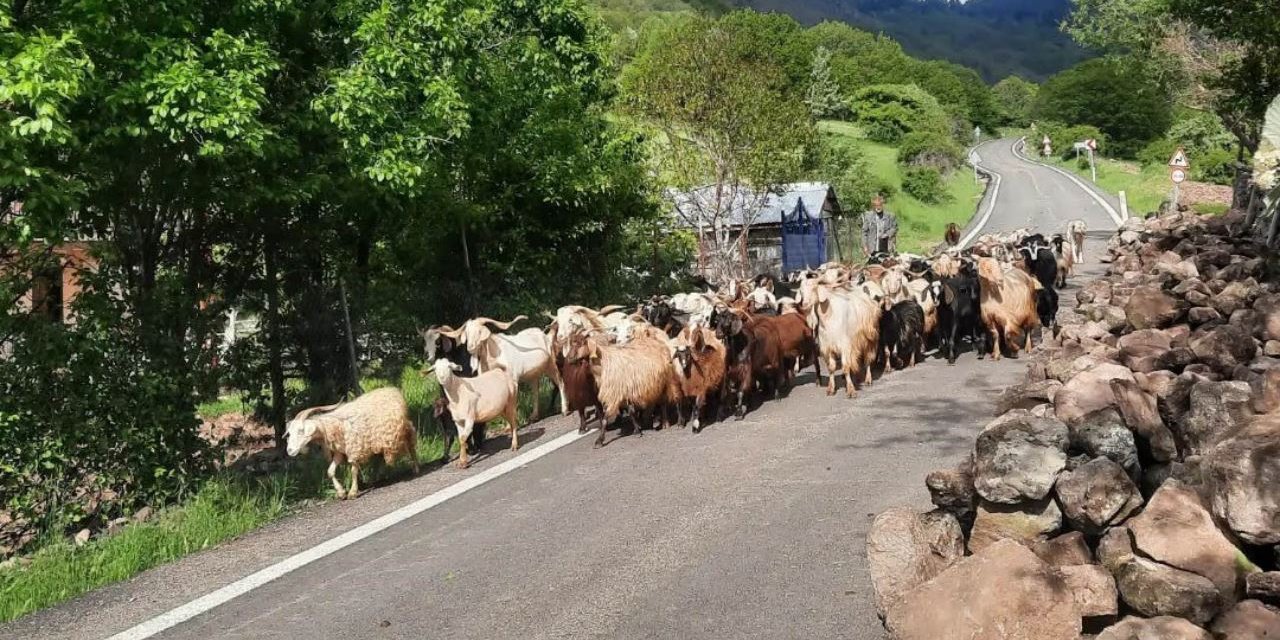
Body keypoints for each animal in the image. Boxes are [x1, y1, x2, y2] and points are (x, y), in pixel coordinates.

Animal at [288, 386, 417, 496]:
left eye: (300, 431)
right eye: (289, 432)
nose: (289, 450)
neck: (332, 426)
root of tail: (392, 390)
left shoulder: (355, 449)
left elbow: (353, 471)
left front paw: (352, 492)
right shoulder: (340, 452)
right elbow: (330, 471)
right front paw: (341, 492)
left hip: (404, 429)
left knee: (411, 445)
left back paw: (415, 469)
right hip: (379, 440)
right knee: (380, 458)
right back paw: (376, 477)